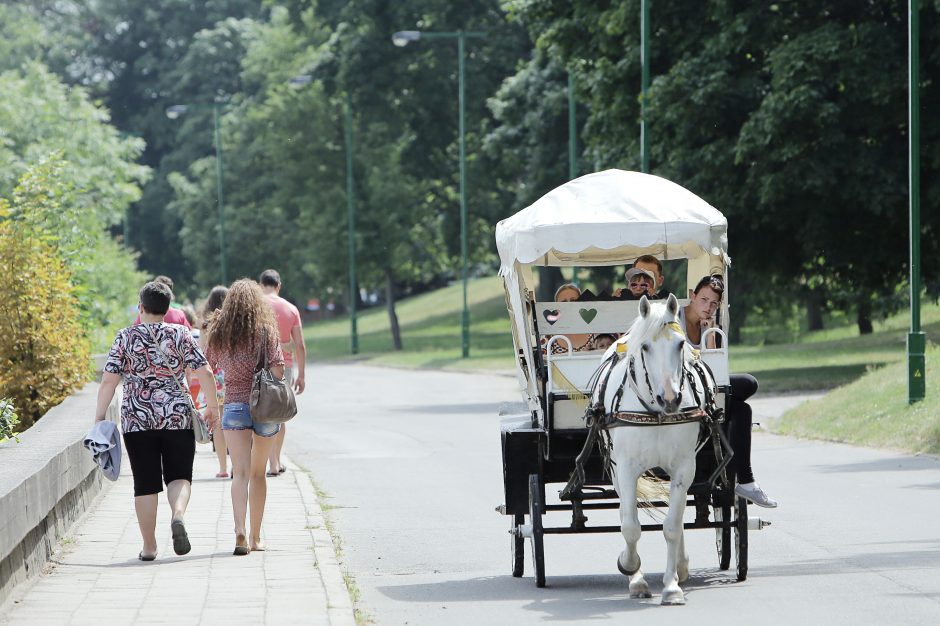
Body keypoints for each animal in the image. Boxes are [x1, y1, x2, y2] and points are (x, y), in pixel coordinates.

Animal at [592, 294, 708, 604]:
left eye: (680, 344)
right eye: (645, 346)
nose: (670, 398)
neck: (656, 413)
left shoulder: (684, 468)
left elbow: (672, 525)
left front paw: (672, 586)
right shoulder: (626, 469)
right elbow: (630, 526)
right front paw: (631, 569)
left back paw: (681, 566)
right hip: (617, 470)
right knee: (625, 513)